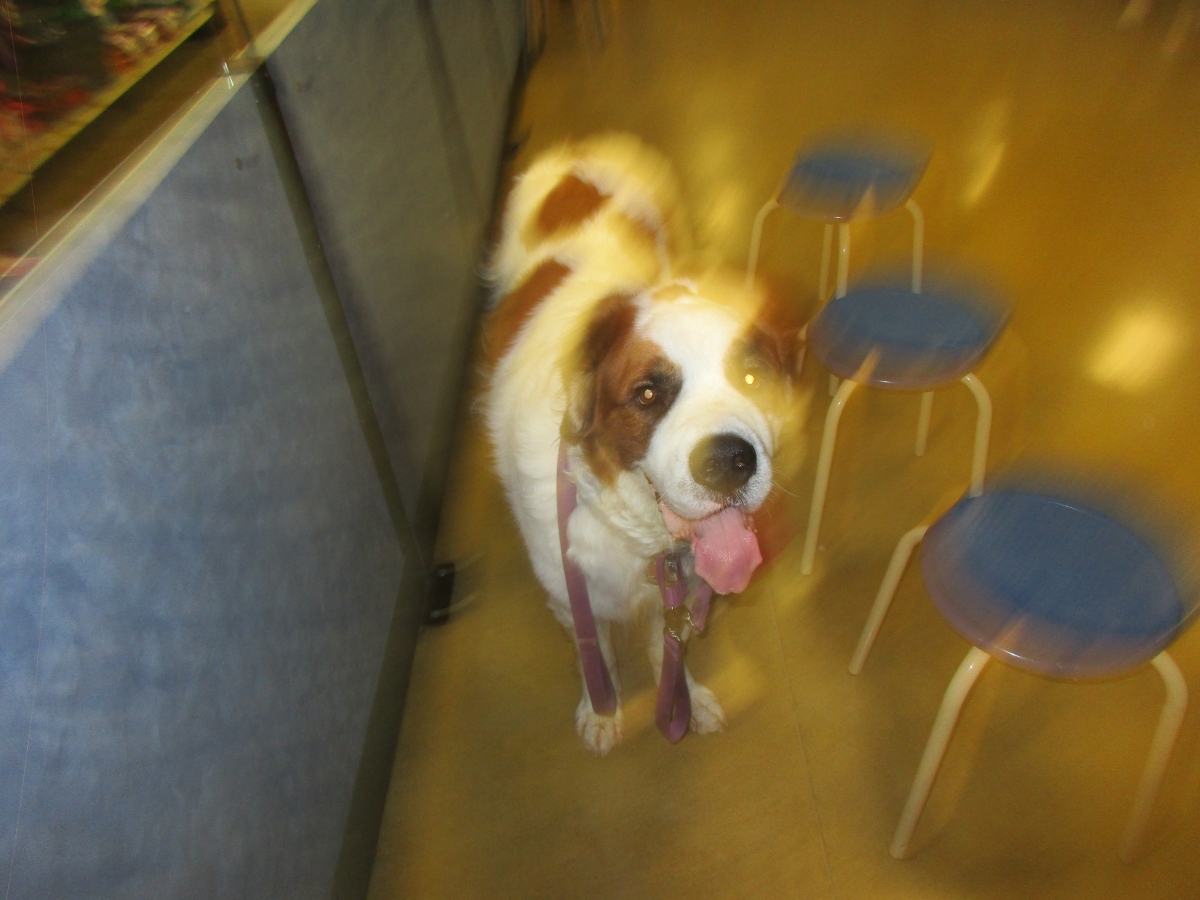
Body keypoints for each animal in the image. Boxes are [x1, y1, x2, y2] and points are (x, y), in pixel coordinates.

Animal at [484, 134, 805, 754]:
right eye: (649, 394)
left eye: (752, 377)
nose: (730, 463)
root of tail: (578, 153)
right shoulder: (570, 590)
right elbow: (597, 650)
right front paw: (602, 707)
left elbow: (667, 642)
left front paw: (685, 696)